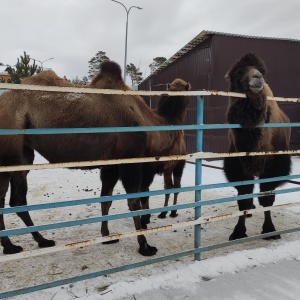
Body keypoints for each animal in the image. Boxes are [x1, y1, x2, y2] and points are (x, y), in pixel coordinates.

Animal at [0, 60, 189, 255]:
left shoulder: (111, 164)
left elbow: (106, 199)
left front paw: (107, 236)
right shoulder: (130, 160)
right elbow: (134, 201)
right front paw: (145, 246)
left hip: (21, 153)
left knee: (12, 199)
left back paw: (32, 242)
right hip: (10, 147)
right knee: (14, 199)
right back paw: (22, 244)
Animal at [224, 52, 292, 241]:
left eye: (261, 71)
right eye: (239, 72)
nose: (258, 77)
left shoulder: (273, 167)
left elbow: (267, 199)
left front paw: (269, 230)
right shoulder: (239, 166)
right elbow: (244, 199)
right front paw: (238, 232)